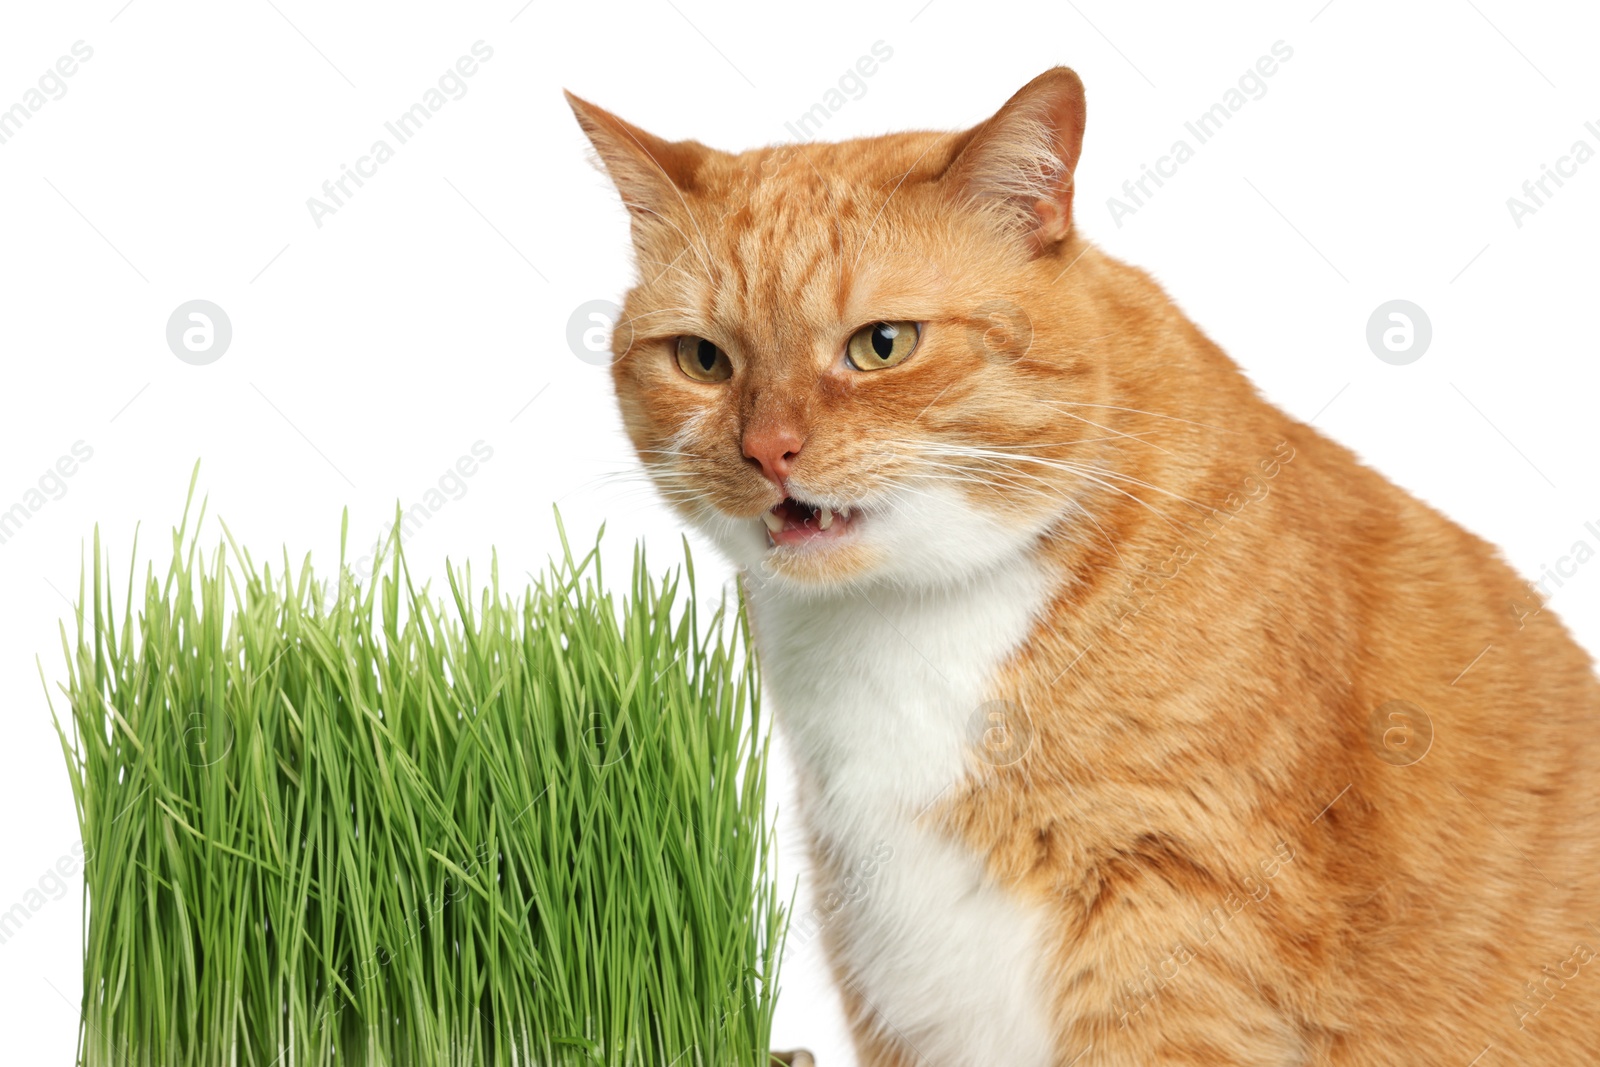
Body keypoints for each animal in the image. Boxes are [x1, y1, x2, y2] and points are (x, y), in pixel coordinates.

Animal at [572, 70, 1600, 1062]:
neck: (904, 629)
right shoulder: (880, 940)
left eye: (882, 345)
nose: (767, 450)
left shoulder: (1177, 909)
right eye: (704, 359)